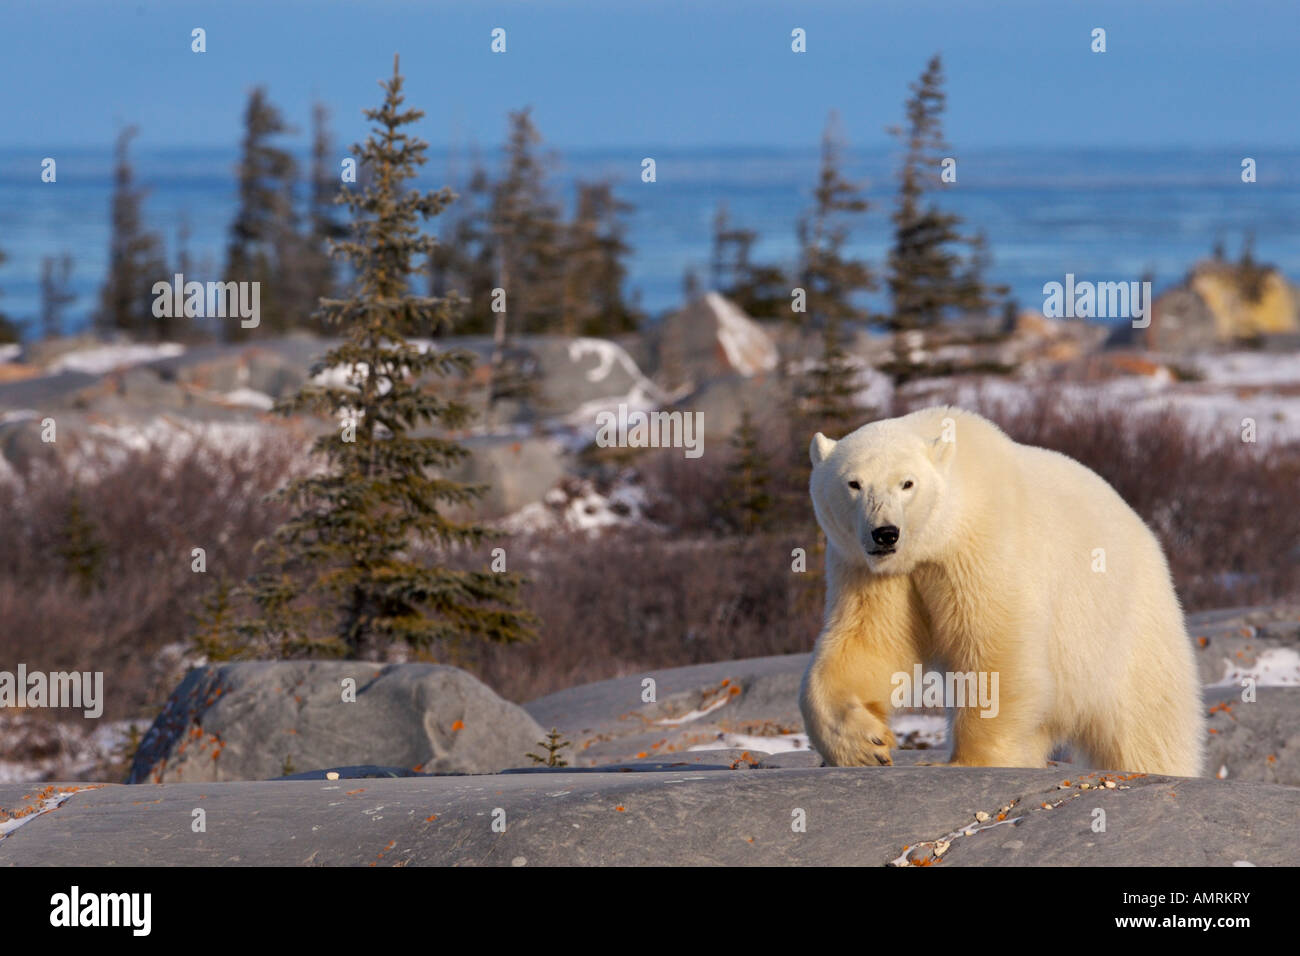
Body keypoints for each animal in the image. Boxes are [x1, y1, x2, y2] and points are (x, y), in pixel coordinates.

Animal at [795, 408, 1201, 780]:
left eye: (907, 483)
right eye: (854, 483)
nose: (885, 533)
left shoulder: (983, 544)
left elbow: (994, 644)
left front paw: (970, 760)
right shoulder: (871, 569)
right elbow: (866, 641)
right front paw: (865, 745)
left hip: (1128, 628)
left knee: (1147, 725)